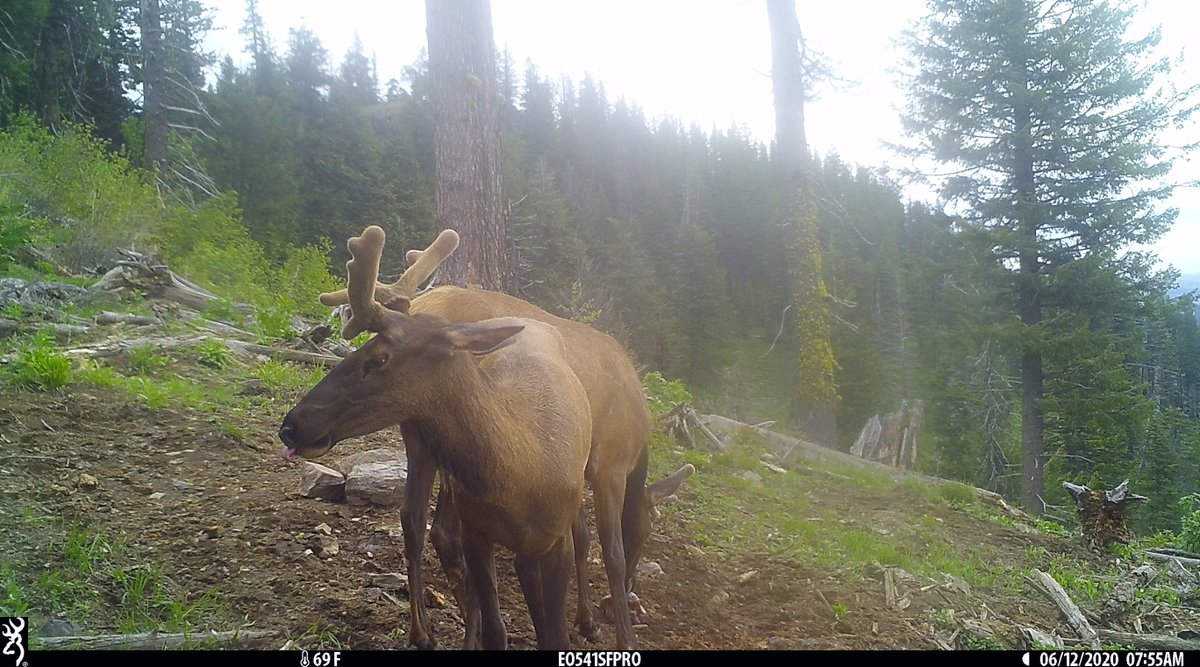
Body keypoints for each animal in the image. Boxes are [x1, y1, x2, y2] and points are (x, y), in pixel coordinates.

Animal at [279, 225, 591, 649]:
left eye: (379, 357)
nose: (290, 425)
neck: (520, 471)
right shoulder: (477, 531)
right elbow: (496, 630)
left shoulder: (556, 538)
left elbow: (555, 634)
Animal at [320, 227, 694, 649]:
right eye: (646, 531)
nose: (629, 595)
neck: (639, 447)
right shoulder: (608, 463)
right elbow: (608, 551)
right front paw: (618, 634)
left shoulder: (571, 474)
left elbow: (578, 537)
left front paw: (584, 619)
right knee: (445, 531)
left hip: (417, 431)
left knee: (414, 518)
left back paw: (426, 631)